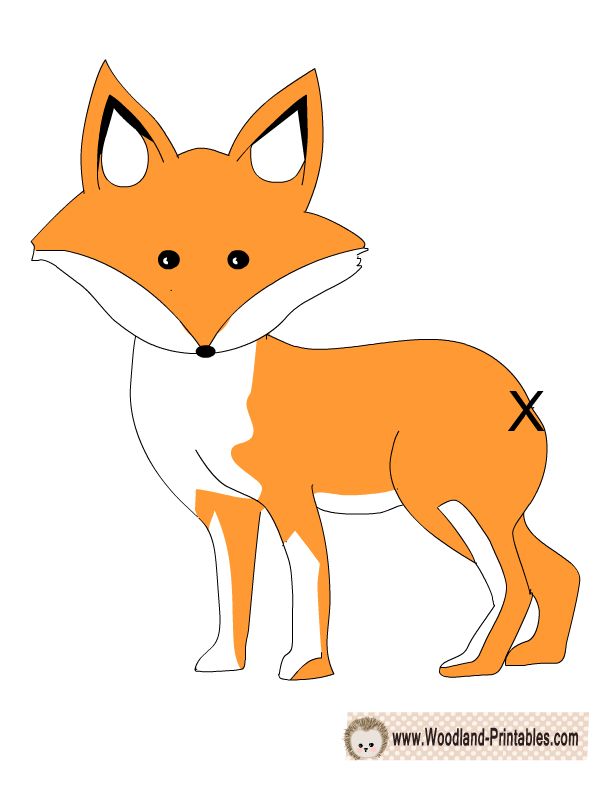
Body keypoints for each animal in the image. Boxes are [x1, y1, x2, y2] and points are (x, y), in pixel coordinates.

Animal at [32, 62, 579, 681]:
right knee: (557, 573)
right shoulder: (224, 506)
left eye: (241, 259)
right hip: (489, 512)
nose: (204, 347)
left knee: (515, 585)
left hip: (440, 503)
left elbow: (310, 579)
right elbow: (233, 593)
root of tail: (514, 384)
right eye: (165, 259)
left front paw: (305, 665)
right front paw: (225, 664)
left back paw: (478, 665)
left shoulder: (290, 494)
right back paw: (533, 656)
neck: (204, 405)